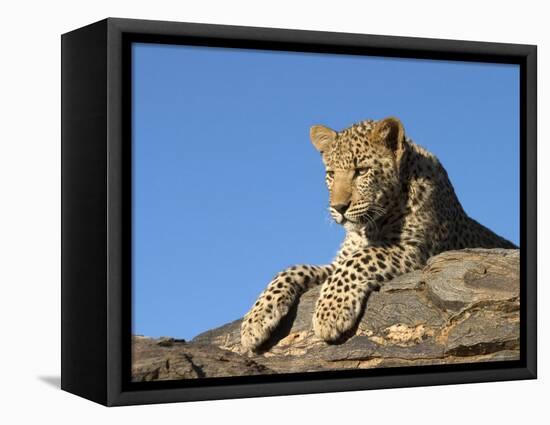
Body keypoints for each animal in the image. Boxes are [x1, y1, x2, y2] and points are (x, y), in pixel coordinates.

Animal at [240, 114, 516, 350]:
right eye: (331, 174)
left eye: (361, 171)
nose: (338, 207)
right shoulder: (334, 263)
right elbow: (294, 269)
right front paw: (254, 320)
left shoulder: (416, 252)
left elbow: (359, 259)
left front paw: (329, 313)